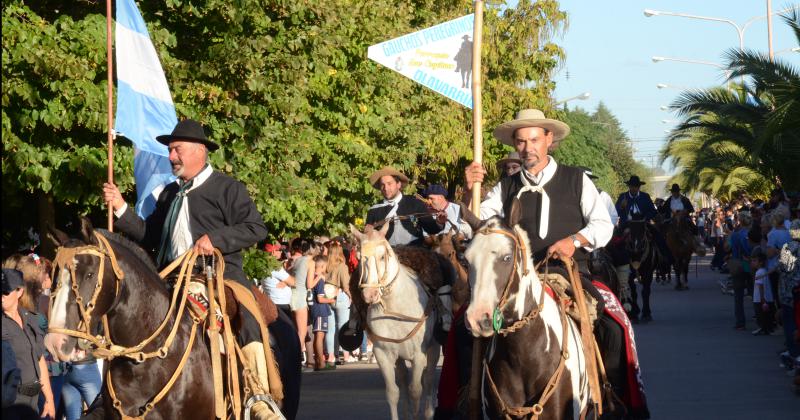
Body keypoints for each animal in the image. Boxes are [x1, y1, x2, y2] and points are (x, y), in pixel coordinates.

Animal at [350, 225, 438, 420]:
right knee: (404, 380)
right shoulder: (383, 354)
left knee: (429, 380)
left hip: (434, 349)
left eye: (383, 256)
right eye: (359, 257)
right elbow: (393, 392)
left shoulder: (418, 355)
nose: (370, 294)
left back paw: (429, 412)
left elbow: (416, 390)